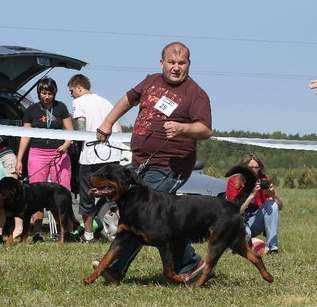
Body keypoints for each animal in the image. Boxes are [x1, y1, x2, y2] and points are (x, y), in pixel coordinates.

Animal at [82, 165, 272, 288]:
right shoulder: (122, 238)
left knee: (209, 266)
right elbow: (105, 259)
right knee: (256, 257)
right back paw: (268, 277)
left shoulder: (164, 243)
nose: (88, 177)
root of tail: (232, 204)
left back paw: (194, 285)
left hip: (218, 241)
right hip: (236, 241)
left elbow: (168, 271)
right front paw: (89, 279)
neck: (130, 199)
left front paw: (182, 278)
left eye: (106, 173)